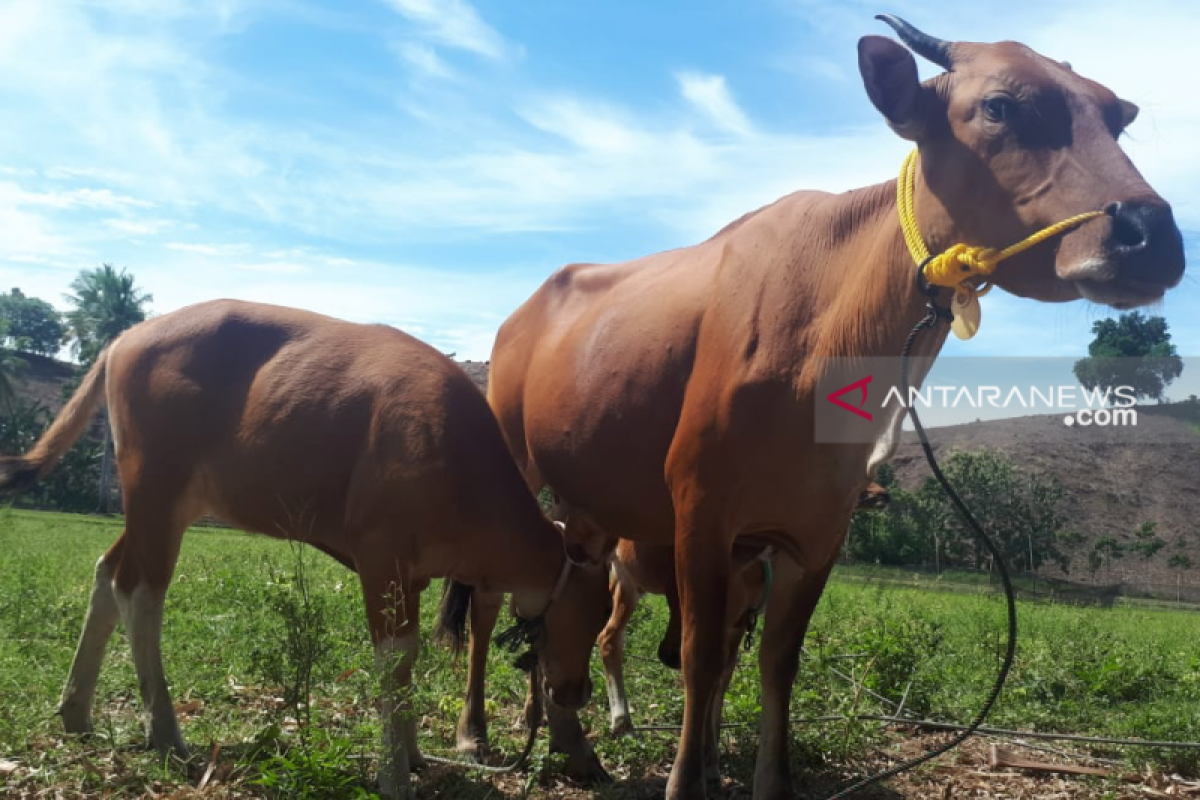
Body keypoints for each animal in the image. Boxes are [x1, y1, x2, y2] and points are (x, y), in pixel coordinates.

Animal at [0, 299, 609, 800]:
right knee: (140, 592)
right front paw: (393, 772)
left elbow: (408, 662)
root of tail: (125, 337)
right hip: (156, 491)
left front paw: (413, 753)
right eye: (596, 611)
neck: (458, 460)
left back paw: (76, 710)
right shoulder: (381, 557)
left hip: (165, 505)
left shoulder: (411, 576)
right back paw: (165, 732)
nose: (577, 691)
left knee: (108, 571)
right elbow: (396, 659)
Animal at [482, 17, 1185, 800]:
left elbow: (775, 665)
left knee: (561, 604)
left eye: (1116, 117)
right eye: (1000, 106)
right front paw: (688, 778)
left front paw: (766, 779)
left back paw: (568, 741)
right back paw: (481, 732)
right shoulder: (700, 516)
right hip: (508, 469)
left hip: (588, 511)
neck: (828, 341)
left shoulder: (815, 536)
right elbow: (699, 658)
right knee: (489, 605)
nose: (1152, 234)